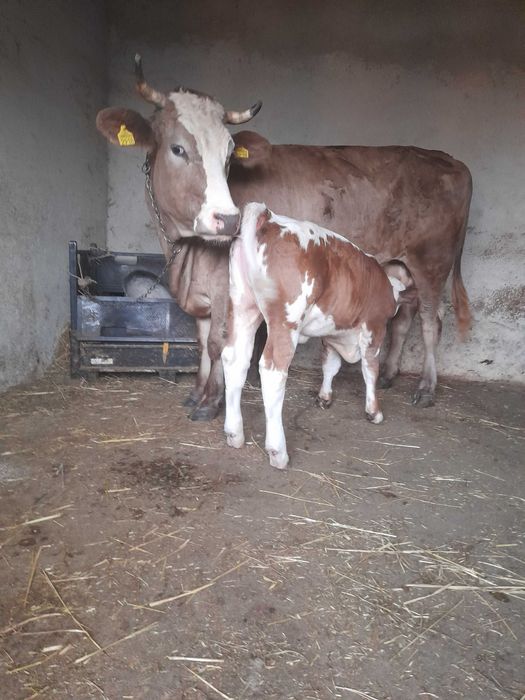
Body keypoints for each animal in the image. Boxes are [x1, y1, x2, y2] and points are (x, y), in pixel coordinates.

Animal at [96, 56, 471, 418]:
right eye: (177, 149)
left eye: (229, 155)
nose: (228, 219)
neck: (185, 253)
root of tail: (449, 160)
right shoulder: (199, 289)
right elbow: (202, 343)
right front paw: (196, 394)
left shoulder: (224, 289)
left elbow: (218, 344)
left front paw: (211, 402)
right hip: (399, 266)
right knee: (404, 318)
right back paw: (391, 374)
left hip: (431, 262)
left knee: (431, 322)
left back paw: (426, 388)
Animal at [223, 202, 415, 469]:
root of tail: (266, 217)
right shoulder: (373, 329)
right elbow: (370, 370)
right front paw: (374, 411)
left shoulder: (331, 334)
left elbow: (330, 365)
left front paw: (324, 397)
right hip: (286, 320)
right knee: (272, 371)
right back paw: (278, 452)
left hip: (243, 306)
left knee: (234, 360)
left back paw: (234, 433)